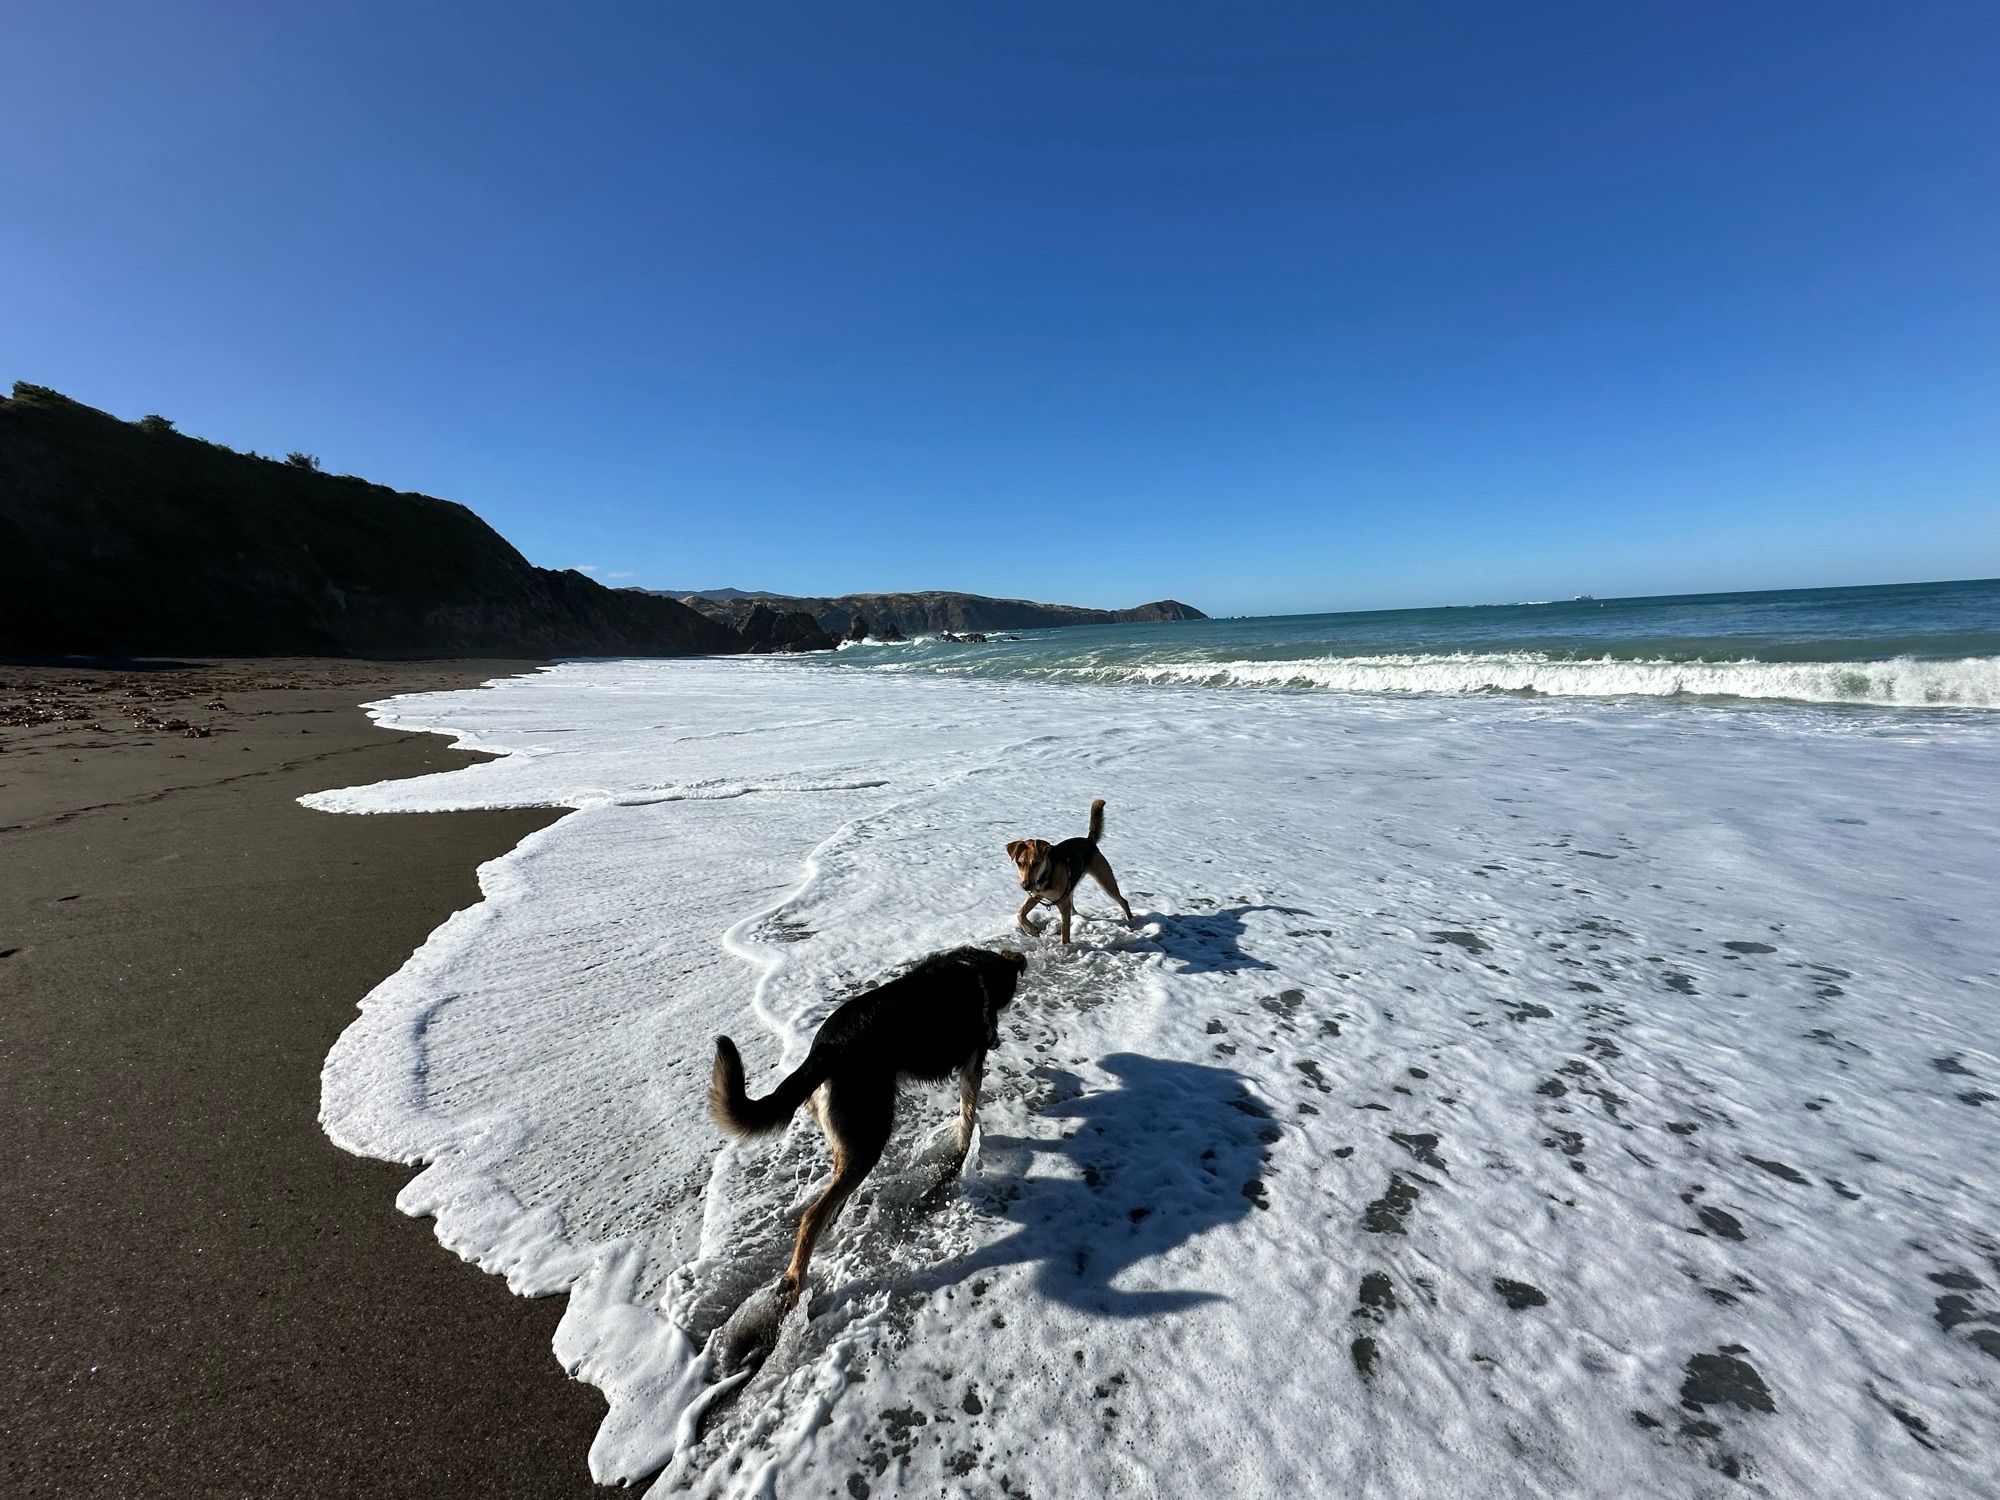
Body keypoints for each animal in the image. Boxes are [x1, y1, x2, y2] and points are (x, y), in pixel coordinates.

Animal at [704, 952, 1024, 1312]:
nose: (997, 1039)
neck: (979, 969)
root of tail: (825, 1050)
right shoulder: (972, 1066)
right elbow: (967, 1119)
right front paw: (963, 1151)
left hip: (848, 1139)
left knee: (832, 1189)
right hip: (868, 1138)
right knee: (811, 1216)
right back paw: (795, 1281)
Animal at [1008, 804, 1136, 944]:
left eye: (1035, 863)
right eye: (1019, 863)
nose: (1025, 886)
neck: (1046, 875)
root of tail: (1089, 841)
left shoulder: (1062, 903)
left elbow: (1065, 934)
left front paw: (1064, 945)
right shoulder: (1035, 895)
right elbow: (1020, 913)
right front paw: (1031, 930)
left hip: (1106, 881)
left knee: (1123, 901)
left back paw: (1131, 920)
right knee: (1073, 903)